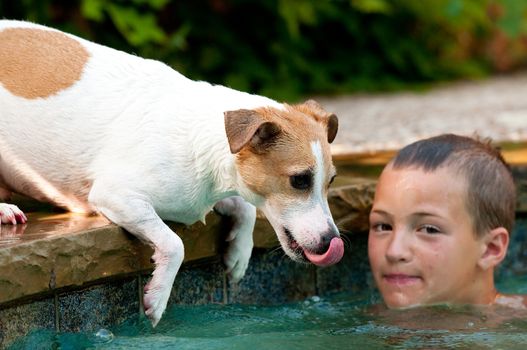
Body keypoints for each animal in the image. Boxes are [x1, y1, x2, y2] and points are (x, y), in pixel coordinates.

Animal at [0, 20, 344, 326]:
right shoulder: (116, 195)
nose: (332, 241)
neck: (205, 137)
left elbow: (245, 208)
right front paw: (159, 295)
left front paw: (239, 253)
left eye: (331, 181)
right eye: (299, 180)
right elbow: (174, 243)